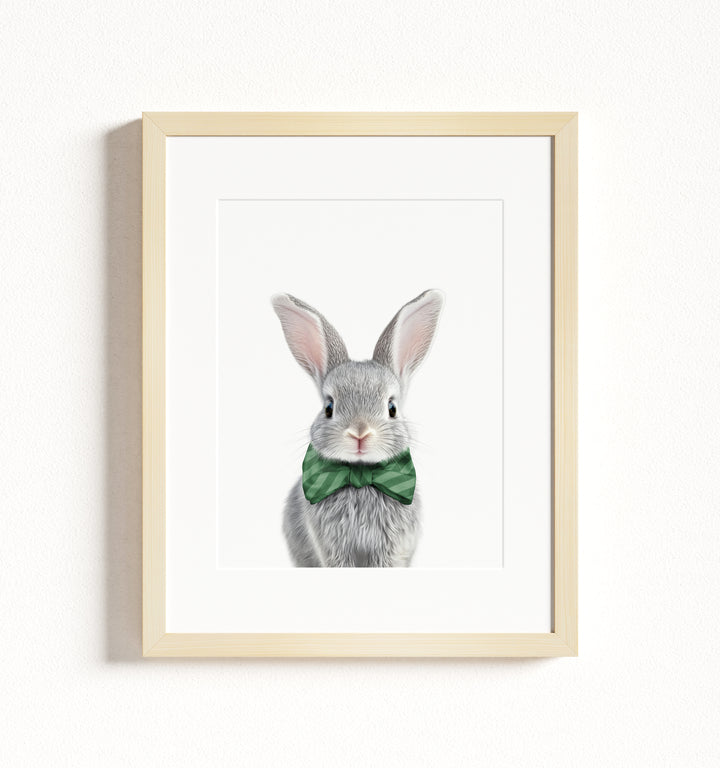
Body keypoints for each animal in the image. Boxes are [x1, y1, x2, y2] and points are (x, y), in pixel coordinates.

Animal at [271, 289, 443, 567]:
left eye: (392, 408)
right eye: (329, 407)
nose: (360, 433)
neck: (360, 475)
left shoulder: (390, 548)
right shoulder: (333, 548)